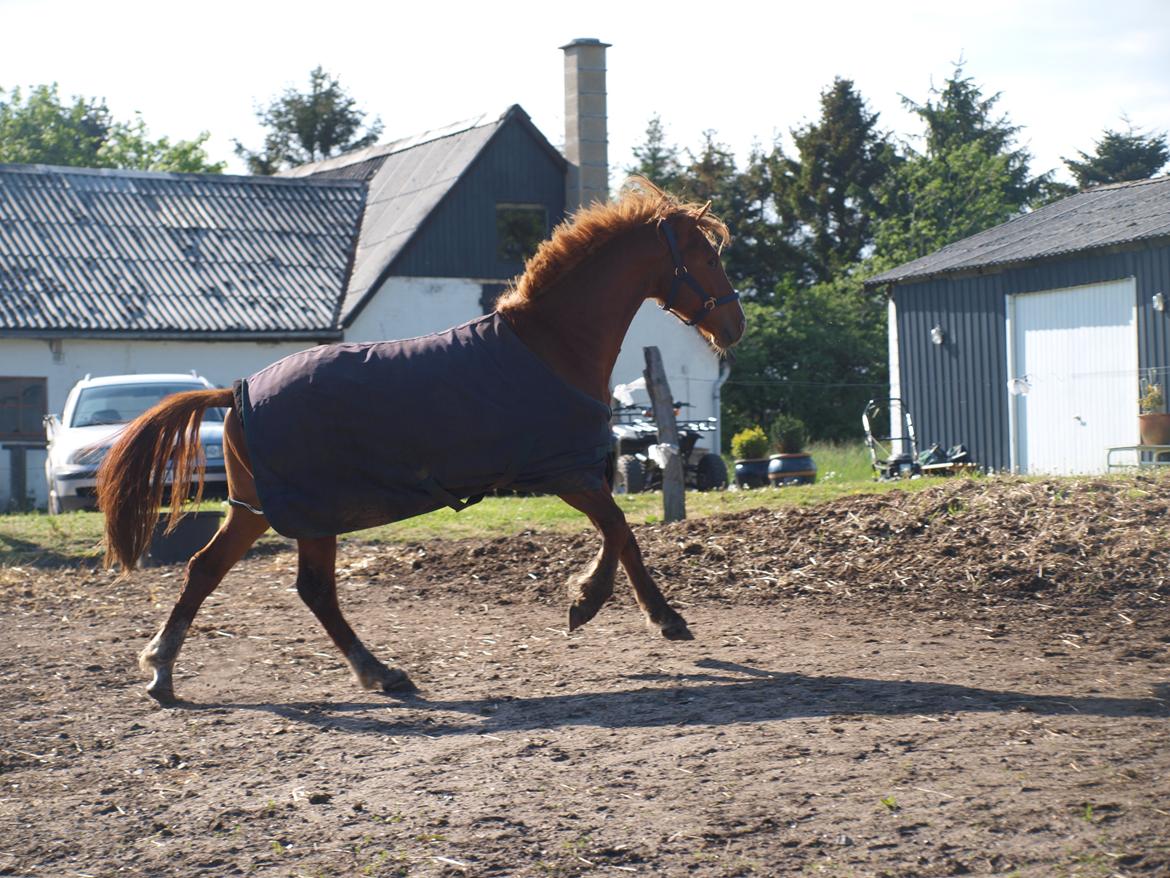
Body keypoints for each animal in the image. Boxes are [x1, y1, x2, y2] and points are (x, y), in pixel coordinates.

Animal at [98, 175, 739, 707]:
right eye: (706, 256)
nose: (734, 327)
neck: (552, 343)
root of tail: (236, 392)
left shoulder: (573, 470)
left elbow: (617, 535)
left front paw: (600, 602)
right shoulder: (566, 472)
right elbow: (622, 532)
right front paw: (633, 611)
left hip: (256, 510)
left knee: (210, 570)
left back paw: (164, 670)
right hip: (309, 514)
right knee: (311, 589)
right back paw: (378, 672)